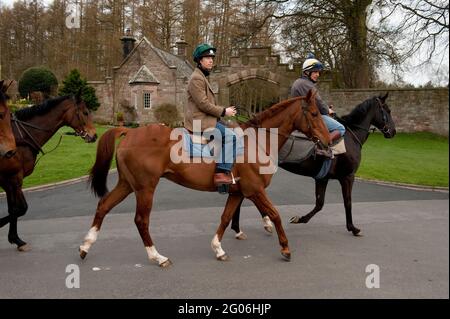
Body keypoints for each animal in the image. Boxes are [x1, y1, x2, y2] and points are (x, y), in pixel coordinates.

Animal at [0, 90, 96, 250]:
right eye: (85, 112)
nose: (94, 135)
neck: (20, 137)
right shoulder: (14, 178)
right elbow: (19, 209)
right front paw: (14, 237)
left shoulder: (8, 180)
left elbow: (15, 209)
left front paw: (15, 238)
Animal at [78, 89, 330, 268]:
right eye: (315, 114)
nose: (328, 141)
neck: (256, 141)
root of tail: (130, 131)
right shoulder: (255, 190)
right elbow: (275, 215)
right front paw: (285, 248)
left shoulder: (238, 192)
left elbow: (226, 218)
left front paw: (218, 248)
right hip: (145, 188)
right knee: (141, 220)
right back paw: (157, 256)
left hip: (127, 185)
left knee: (104, 206)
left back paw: (86, 245)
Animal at [230, 92, 396, 238]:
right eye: (388, 110)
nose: (393, 131)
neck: (351, 136)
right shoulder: (348, 177)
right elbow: (347, 202)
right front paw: (353, 228)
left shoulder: (322, 178)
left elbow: (319, 203)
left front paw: (300, 219)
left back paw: (246, 226)